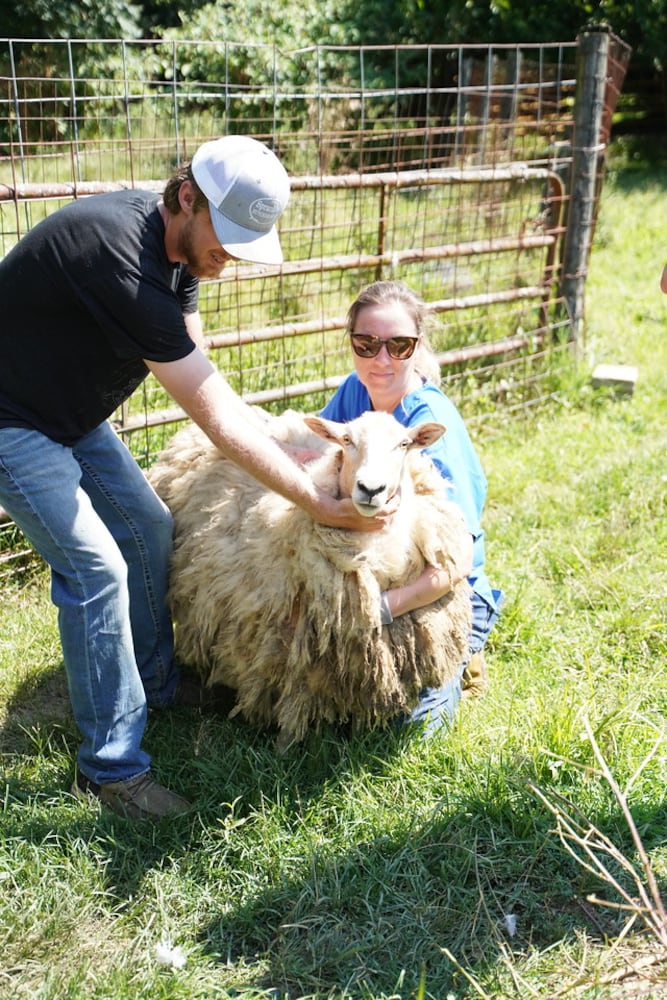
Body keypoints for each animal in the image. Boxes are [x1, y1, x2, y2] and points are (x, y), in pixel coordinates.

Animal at [150, 406, 474, 744]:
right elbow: (293, 706)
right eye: (347, 440)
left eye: (404, 444)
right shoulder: (289, 654)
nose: (371, 489)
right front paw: (285, 743)